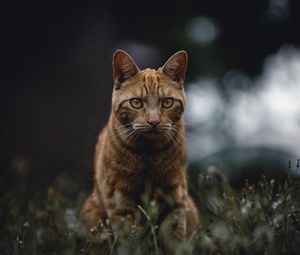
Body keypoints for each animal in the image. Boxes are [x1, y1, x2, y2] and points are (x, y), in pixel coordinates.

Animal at [80, 49, 199, 253]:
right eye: (136, 103)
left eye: (167, 102)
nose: (153, 121)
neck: (148, 155)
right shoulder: (120, 203)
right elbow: (129, 242)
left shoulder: (175, 198)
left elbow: (174, 241)